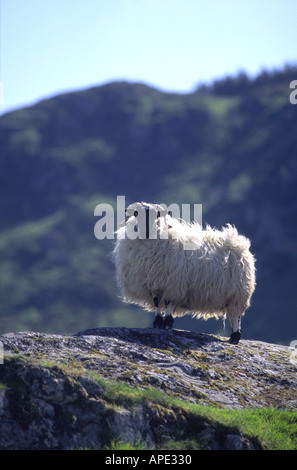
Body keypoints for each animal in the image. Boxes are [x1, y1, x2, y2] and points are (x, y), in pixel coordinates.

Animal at [112, 200, 256, 344]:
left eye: (156, 215)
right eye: (137, 214)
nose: (145, 229)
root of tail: (239, 243)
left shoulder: (171, 283)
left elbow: (167, 302)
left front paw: (168, 323)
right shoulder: (153, 282)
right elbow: (157, 301)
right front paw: (158, 323)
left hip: (237, 293)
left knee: (236, 315)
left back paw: (235, 337)